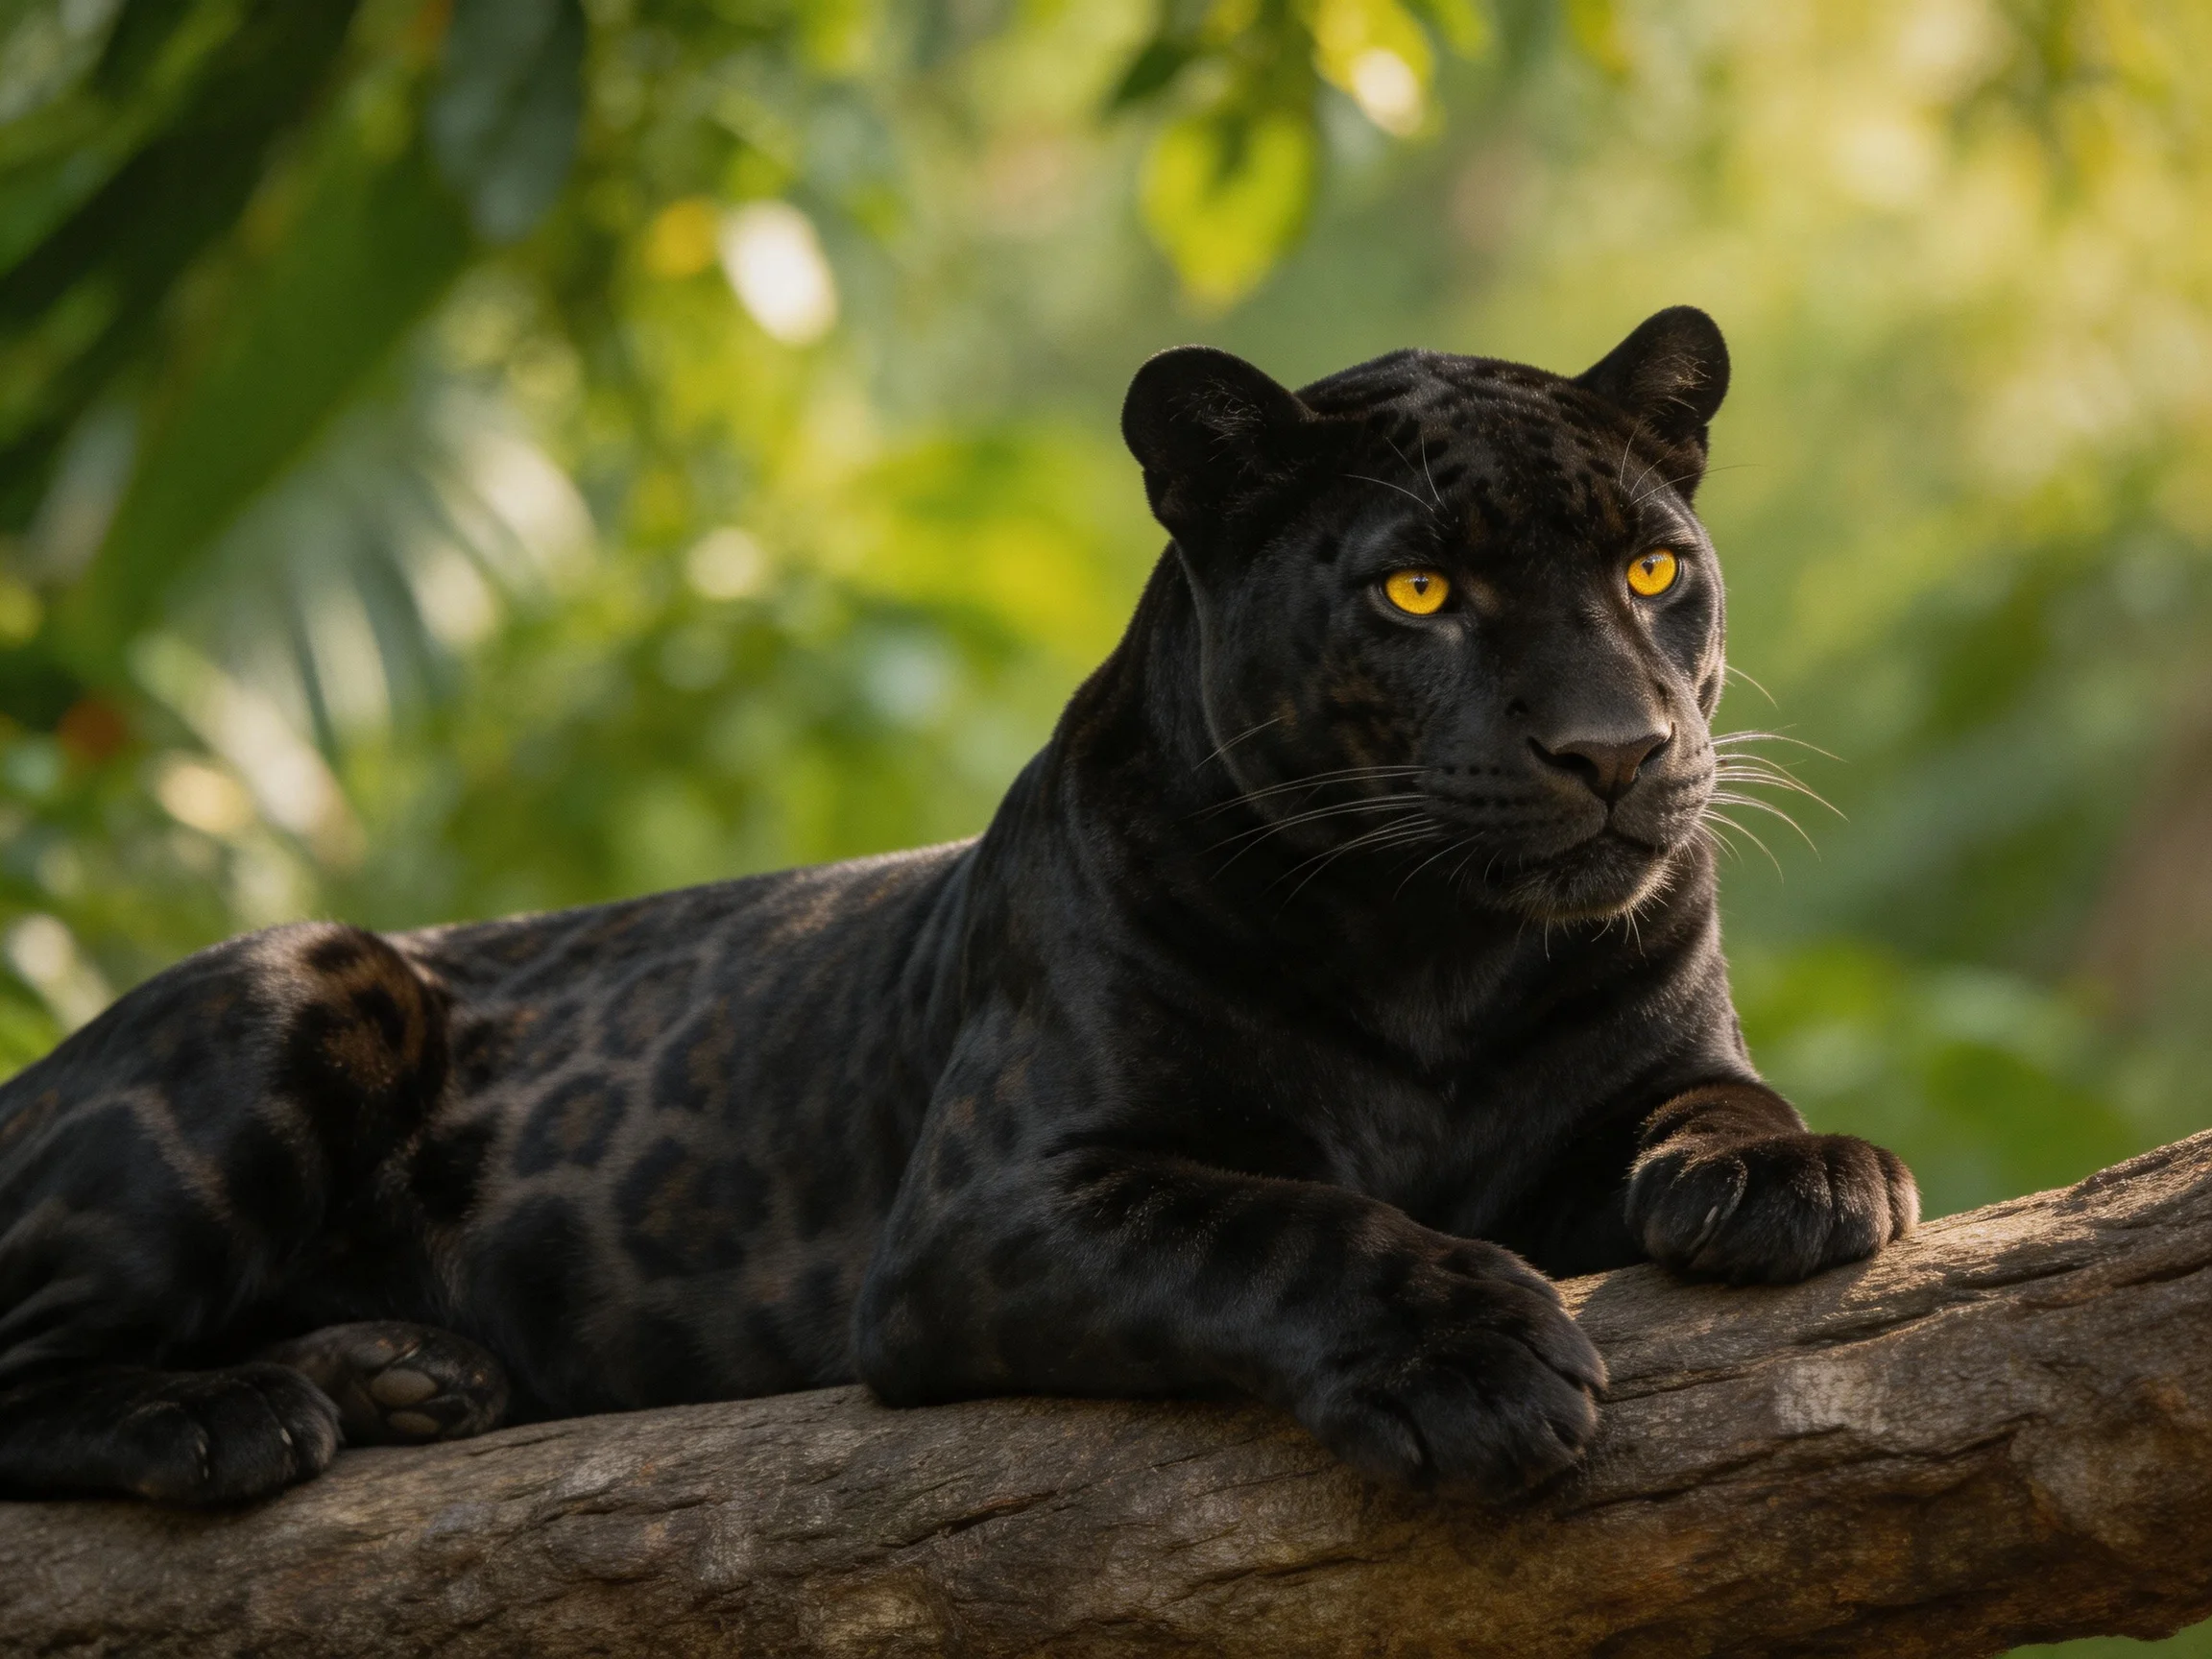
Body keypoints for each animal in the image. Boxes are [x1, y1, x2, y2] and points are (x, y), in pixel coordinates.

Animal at [0, 307, 1916, 1504]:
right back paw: (236, 1416)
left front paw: (1805, 1174)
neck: (1435, 951)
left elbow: (1717, 1099)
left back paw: (404, 1376)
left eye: (1651, 567)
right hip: (296, 984)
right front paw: (1469, 1360)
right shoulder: (1008, 1196)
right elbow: (1288, 1219)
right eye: (1418, 591)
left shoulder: (1633, 1074)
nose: (1613, 750)